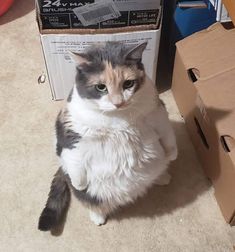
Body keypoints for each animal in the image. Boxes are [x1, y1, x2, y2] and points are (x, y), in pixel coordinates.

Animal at [38, 41, 177, 230]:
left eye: (128, 84)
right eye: (101, 87)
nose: (119, 102)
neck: (118, 117)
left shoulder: (157, 112)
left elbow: (167, 132)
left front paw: (172, 154)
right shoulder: (71, 132)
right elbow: (74, 156)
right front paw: (79, 182)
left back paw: (163, 177)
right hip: (89, 190)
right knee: (92, 202)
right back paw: (98, 217)